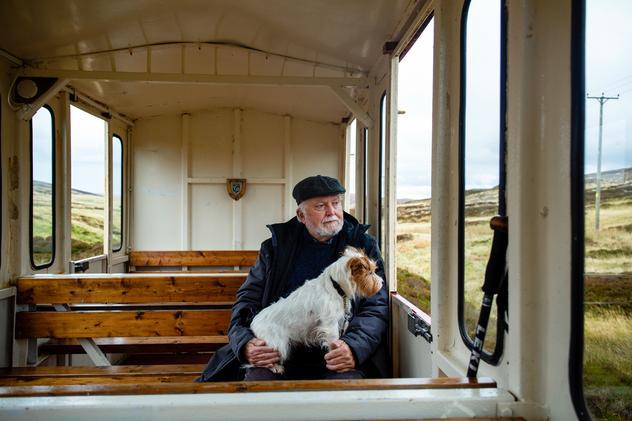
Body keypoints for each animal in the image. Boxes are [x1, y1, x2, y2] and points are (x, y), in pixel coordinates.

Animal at [249, 246, 382, 374]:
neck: (336, 286)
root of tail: (254, 322)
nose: (381, 282)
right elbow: (334, 343)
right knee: (263, 361)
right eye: (370, 272)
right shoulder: (330, 325)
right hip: (277, 344)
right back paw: (276, 367)